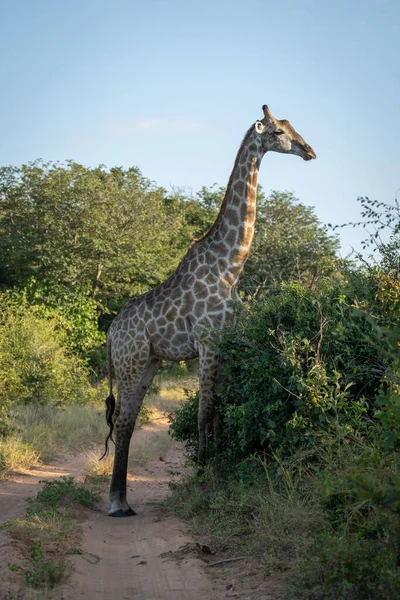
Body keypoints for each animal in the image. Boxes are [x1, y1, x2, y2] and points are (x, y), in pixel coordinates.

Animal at [103, 104, 316, 516]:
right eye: (279, 132)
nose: (310, 151)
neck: (230, 266)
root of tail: (109, 333)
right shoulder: (208, 341)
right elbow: (204, 413)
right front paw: (201, 477)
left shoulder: (226, 341)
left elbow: (218, 413)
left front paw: (215, 471)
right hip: (130, 359)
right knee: (120, 419)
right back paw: (116, 502)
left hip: (148, 361)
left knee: (128, 419)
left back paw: (123, 500)